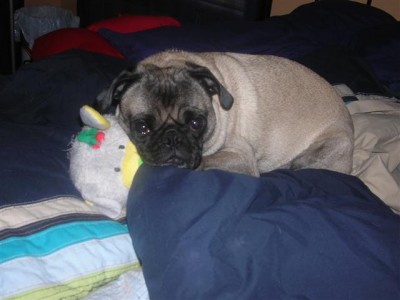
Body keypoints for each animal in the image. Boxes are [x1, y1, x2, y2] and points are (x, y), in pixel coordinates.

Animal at [96, 49, 354, 176]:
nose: (172, 138)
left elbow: (205, 161)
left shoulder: (240, 156)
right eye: (142, 128)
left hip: (315, 154)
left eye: (196, 123)